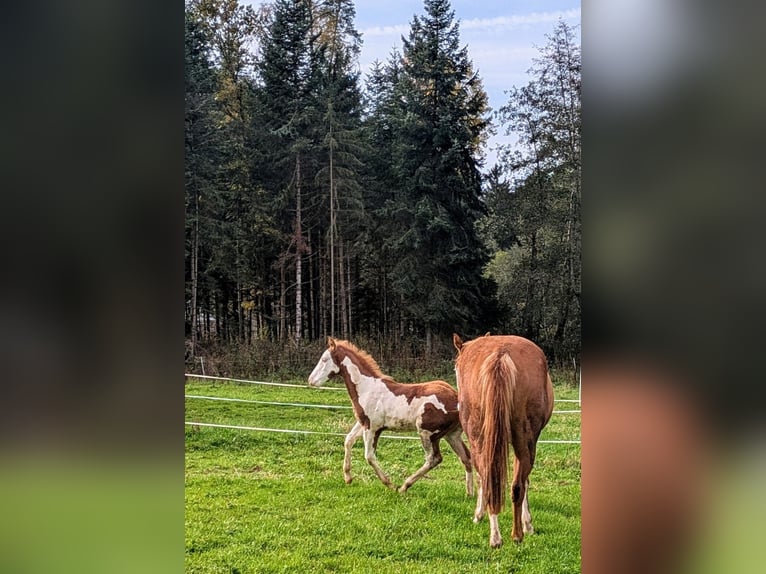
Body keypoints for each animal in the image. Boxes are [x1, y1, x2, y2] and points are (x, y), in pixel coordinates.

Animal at [308, 337, 473, 495]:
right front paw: (348, 477)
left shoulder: (372, 427)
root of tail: (456, 399)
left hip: (427, 433)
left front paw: (389, 484)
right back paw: (469, 493)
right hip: (451, 435)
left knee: (433, 459)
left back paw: (404, 486)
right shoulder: (363, 423)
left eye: (324, 359)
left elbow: (369, 456)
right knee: (466, 457)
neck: (366, 388)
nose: (311, 381)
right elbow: (348, 440)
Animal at [453, 333, 554, 548]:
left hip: (481, 439)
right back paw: (515, 535)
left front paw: (479, 515)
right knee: (516, 485)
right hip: (523, 441)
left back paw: (498, 537)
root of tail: (500, 355)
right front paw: (528, 524)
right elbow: (523, 482)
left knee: (491, 478)